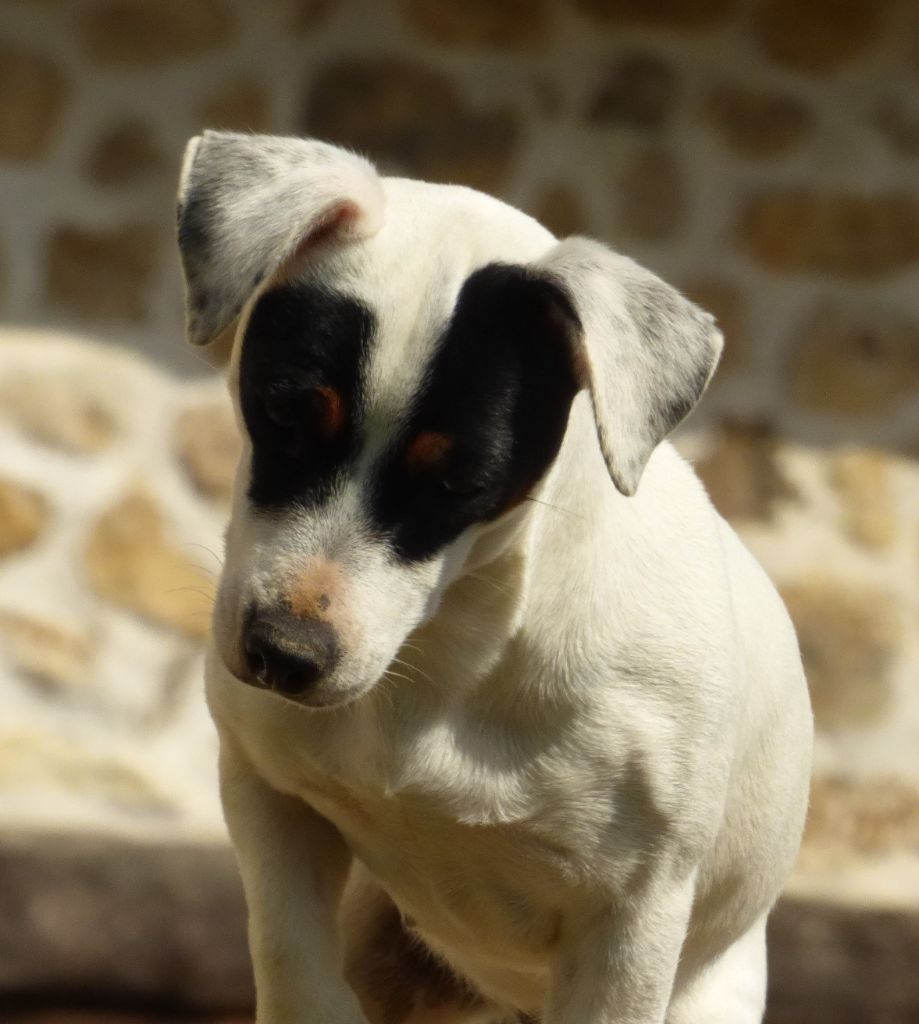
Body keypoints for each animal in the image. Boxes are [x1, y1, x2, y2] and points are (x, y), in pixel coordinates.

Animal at [176, 131, 813, 1024]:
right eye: (284, 413)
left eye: (458, 483)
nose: (283, 655)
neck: (447, 656)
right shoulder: (271, 795)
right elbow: (295, 964)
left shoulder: (630, 915)